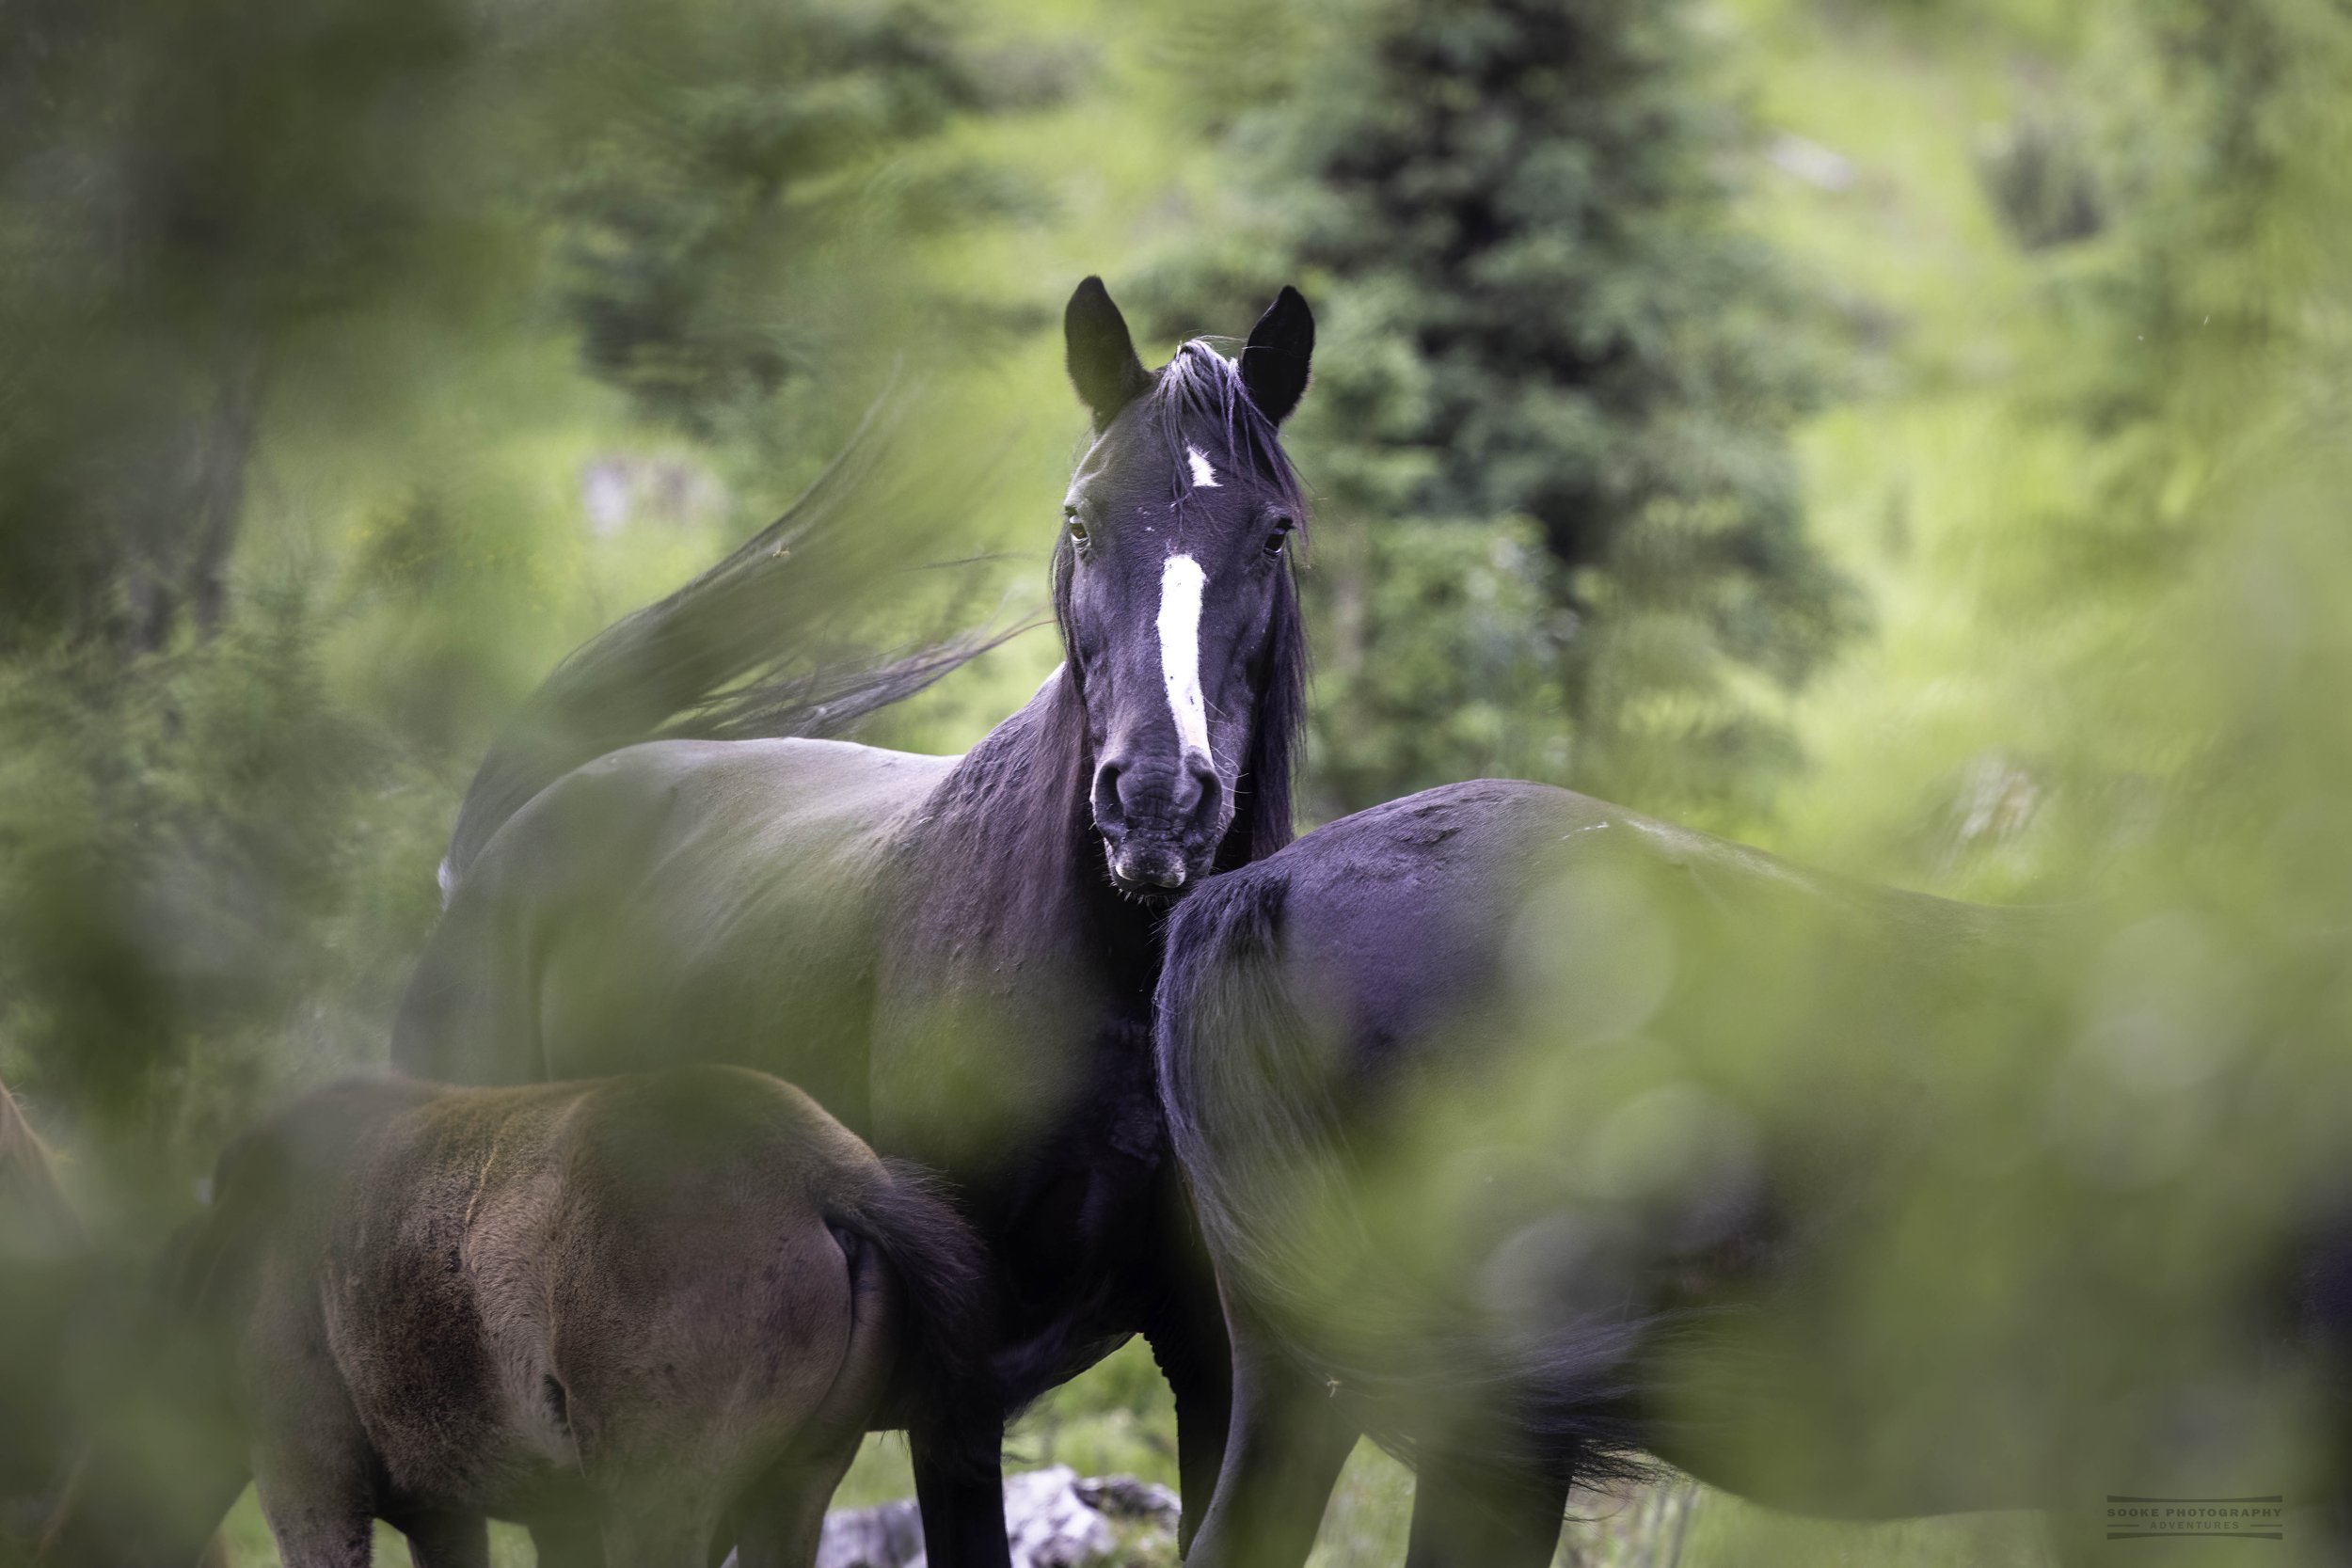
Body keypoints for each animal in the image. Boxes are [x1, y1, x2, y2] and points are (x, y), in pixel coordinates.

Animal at [392, 276, 1318, 1566]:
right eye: (1082, 520)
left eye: (1271, 532)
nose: (1154, 800)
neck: (1121, 992)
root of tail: (501, 847)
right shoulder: (959, 1397)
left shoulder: (1215, 1370)